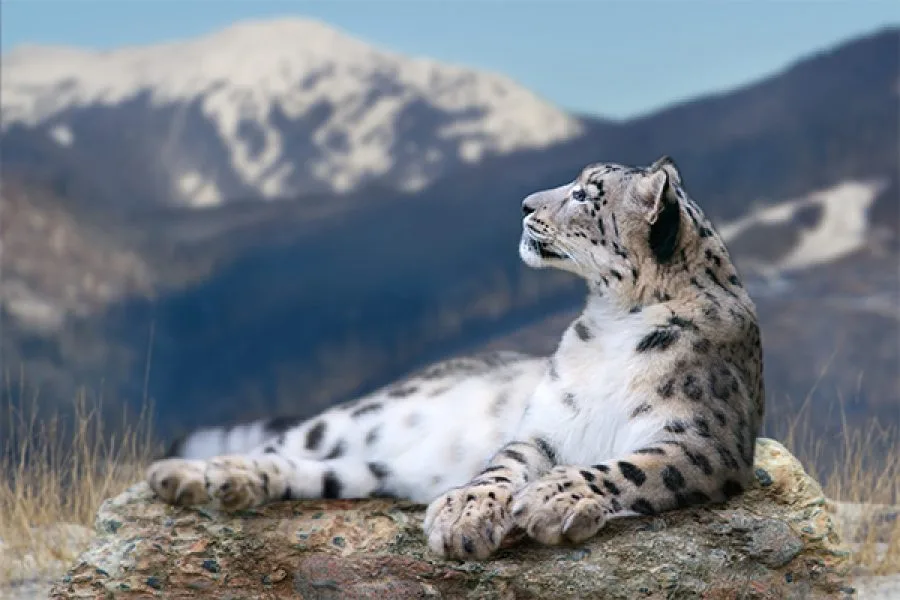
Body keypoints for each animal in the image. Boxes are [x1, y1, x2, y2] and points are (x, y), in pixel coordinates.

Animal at [147, 155, 765, 561]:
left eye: (586, 194)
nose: (525, 204)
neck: (613, 321)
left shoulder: (703, 439)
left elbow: (625, 467)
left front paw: (548, 501)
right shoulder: (544, 424)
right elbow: (504, 463)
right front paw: (466, 513)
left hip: (366, 469)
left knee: (311, 470)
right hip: (355, 417)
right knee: (278, 446)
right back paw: (192, 475)